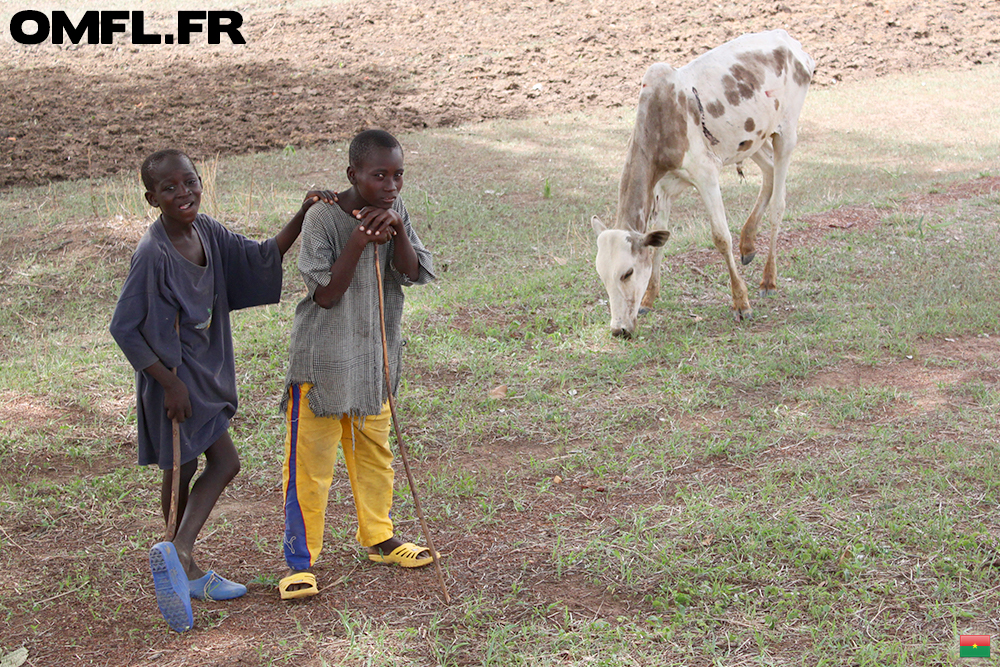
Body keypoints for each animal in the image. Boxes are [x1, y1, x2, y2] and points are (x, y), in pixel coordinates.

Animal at [592, 28, 812, 336]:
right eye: (602, 275)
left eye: (627, 273)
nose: (619, 329)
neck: (662, 119)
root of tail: (791, 41)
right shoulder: (662, 188)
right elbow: (660, 239)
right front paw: (648, 300)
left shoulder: (706, 173)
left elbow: (720, 236)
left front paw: (741, 303)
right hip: (751, 142)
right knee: (768, 170)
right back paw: (748, 244)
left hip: (786, 132)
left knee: (778, 206)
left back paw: (768, 279)